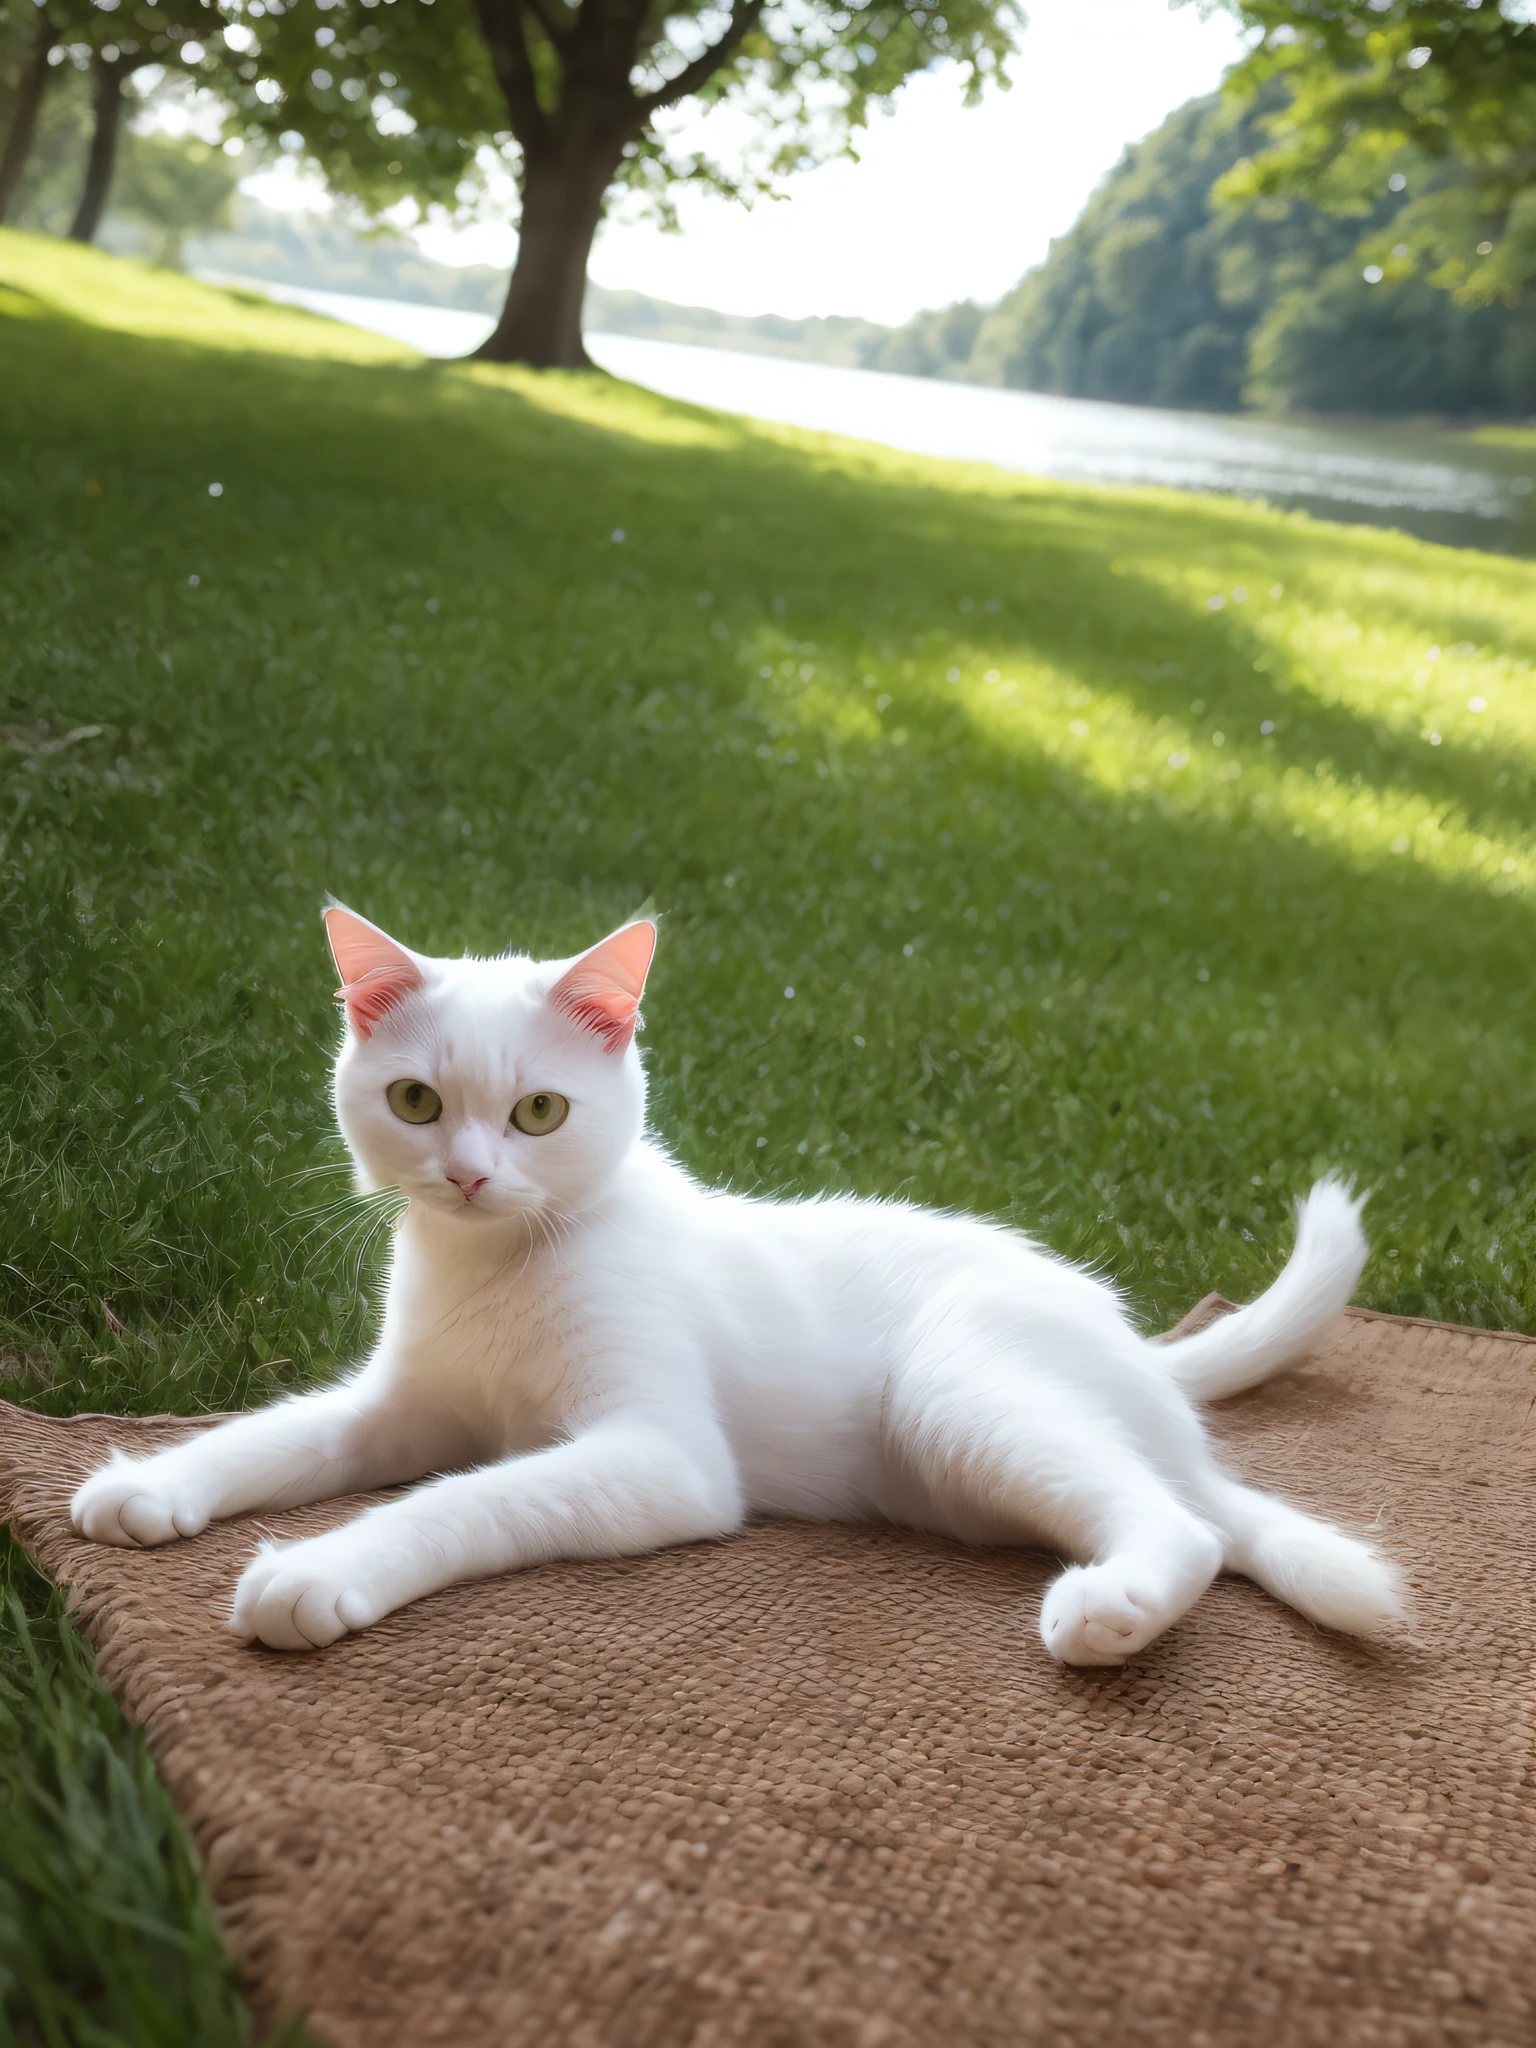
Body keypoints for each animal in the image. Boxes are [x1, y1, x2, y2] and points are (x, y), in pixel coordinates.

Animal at [72, 913, 1409, 1662]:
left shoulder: (657, 1457)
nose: (467, 1172)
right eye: (414, 1100)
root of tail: (1137, 1346)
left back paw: (1113, 1608)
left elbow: (466, 1497)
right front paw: (154, 1481)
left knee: (1189, 1527)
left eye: (539, 1111)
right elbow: (279, 1431)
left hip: (957, 1390)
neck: (496, 1268)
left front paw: (318, 1568)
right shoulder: (396, 1409)